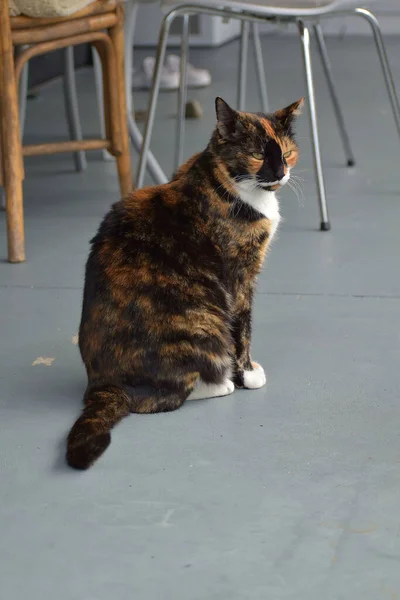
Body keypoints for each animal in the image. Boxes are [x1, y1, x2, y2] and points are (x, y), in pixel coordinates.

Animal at [66, 95, 304, 468]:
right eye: (257, 154)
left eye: (287, 152)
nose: (280, 172)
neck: (227, 185)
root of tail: (101, 384)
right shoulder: (239, 277)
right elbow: (242, 329)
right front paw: (247, 373)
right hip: (201, 321)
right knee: (161, 398)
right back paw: (222, 384)